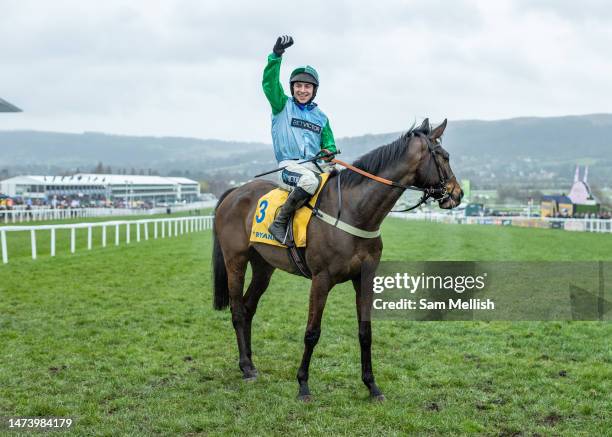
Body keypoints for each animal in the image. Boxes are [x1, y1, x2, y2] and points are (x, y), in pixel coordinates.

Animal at [213, 118, 462, 398]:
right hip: (235, 260)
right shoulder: (321, 280)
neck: (355, 210)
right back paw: (245, 367)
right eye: (444, 156)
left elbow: (365, 332)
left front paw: (371, 385)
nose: (457, 194)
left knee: (248, 308)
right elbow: (312, 332)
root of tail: (235, 192)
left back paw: (250, 364)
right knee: (237, 311)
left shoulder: (364, 278)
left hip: (263, 266)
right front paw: (303, 385)